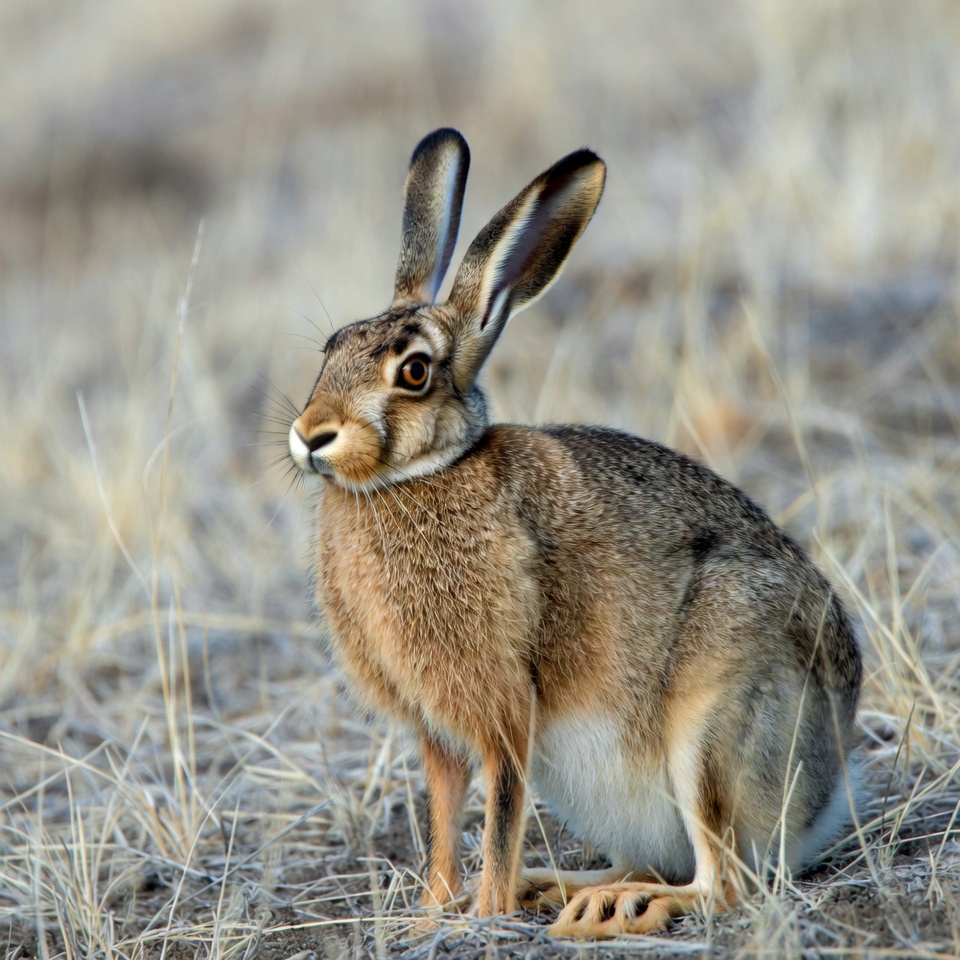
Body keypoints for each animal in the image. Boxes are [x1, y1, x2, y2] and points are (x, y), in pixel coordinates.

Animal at [287, 128, 862, 938]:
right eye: (330, 348)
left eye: (415, 372)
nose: (311, 436)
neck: (417, 477)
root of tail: (825, 797)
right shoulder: (434, 728)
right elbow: (443, 814)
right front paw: (434, 914)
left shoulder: (502, 702)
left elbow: (499, 808)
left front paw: (483, 915)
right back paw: (561, 888)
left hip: (713, 722)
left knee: (724, 882)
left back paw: (620, 908)